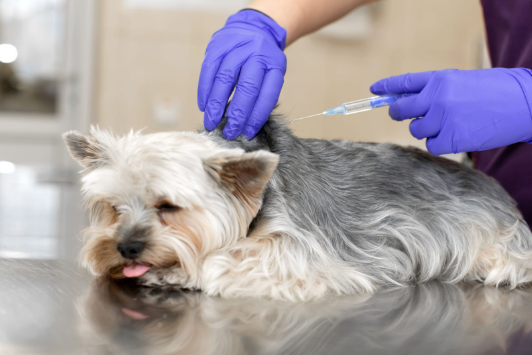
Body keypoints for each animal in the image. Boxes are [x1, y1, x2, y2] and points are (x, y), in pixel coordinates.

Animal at [64, 112, 532, 302]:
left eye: (168, 206)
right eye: (113, 208)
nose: (126, 249)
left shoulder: (299, 258)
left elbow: (221, 263)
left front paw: (183, 271)